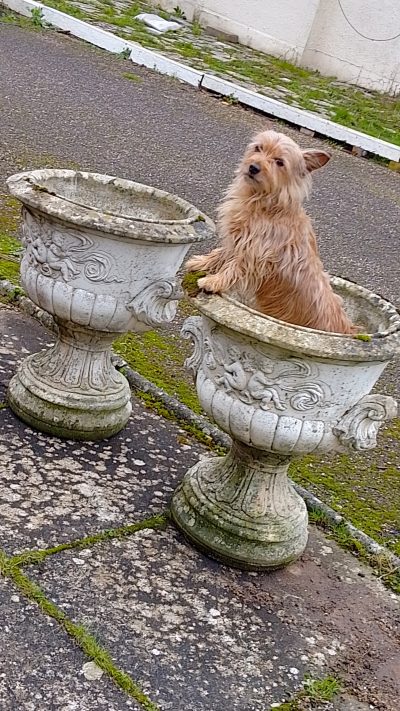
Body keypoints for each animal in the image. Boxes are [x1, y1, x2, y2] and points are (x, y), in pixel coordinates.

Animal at [186, 129, 354, 336]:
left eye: (279, 162)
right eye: (259, 148)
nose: (253, 167)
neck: (264, 202)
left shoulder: (255, 252)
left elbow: (234, 267)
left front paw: (214, 281)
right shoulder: (238, 239)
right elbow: (221, 254)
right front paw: (201, 263)